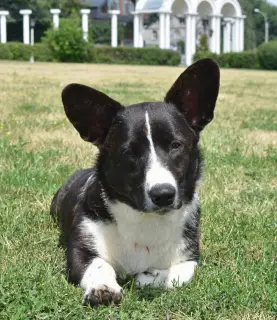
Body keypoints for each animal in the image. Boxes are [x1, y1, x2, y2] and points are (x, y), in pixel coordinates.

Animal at [50, 58, 220, 308]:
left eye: (175, 145)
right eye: (130, 152)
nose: (163, 194)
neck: (145, 220)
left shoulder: (190, 257)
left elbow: (178, 275)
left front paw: (146, 277)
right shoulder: (80, 249)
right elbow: (99, 265)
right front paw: (103, 288)